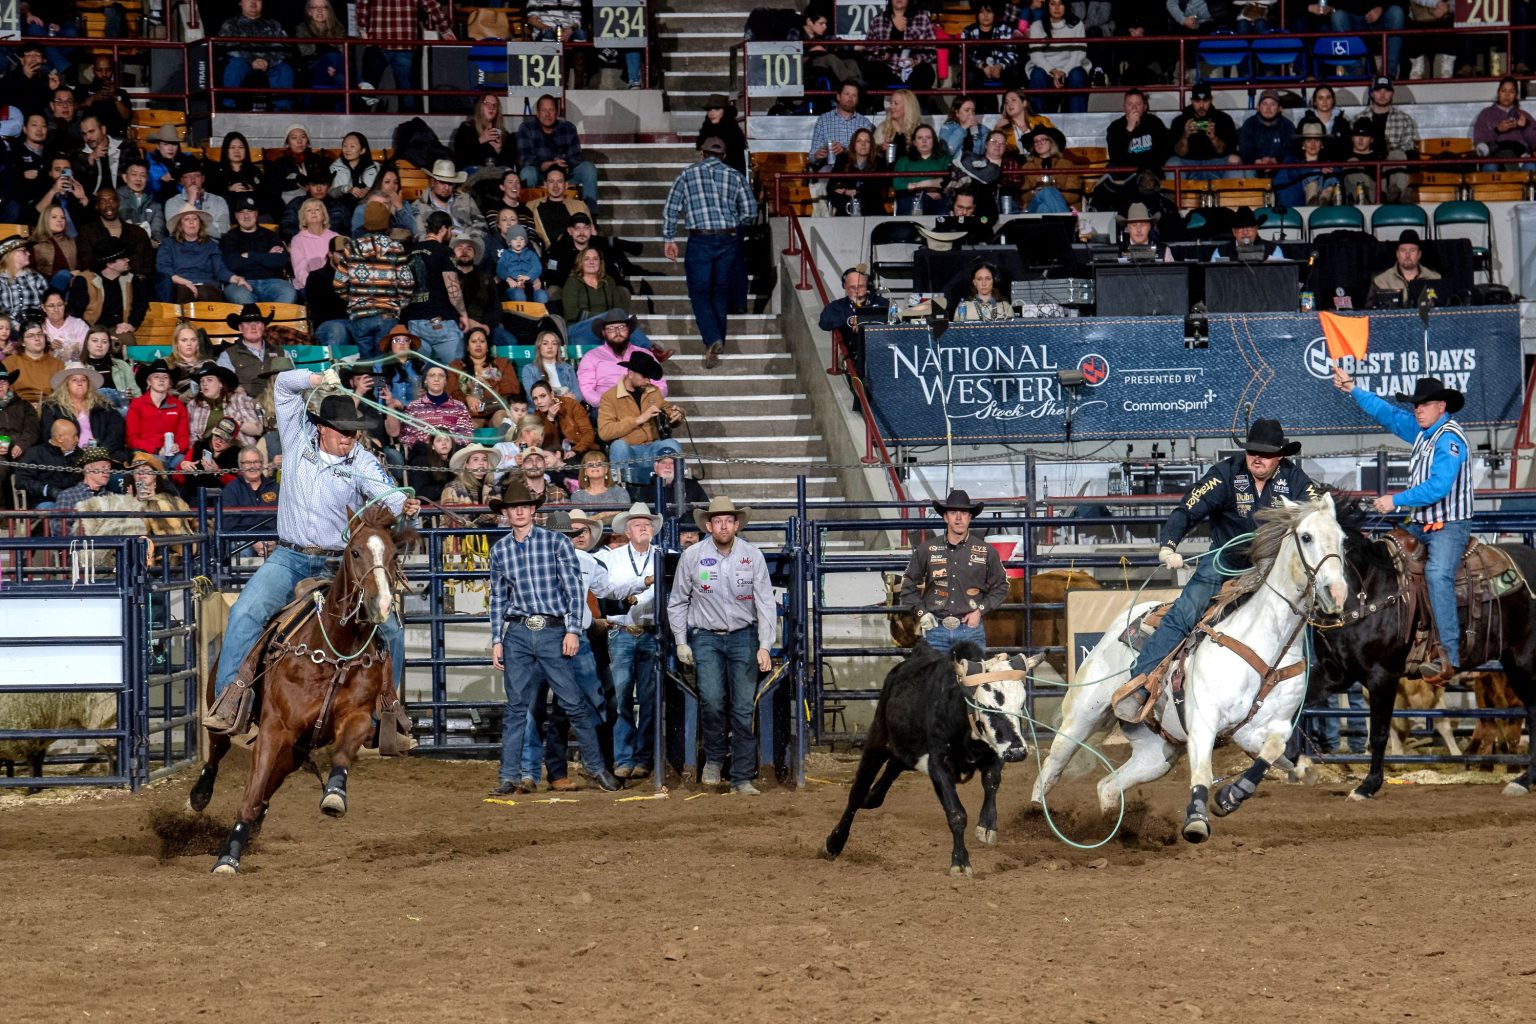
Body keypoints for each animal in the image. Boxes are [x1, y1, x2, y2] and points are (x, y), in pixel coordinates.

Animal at [185, 503, 414, 872]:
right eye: (355, 552)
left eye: (393, 554)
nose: (379, 605)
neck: (335, 652)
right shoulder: (274, 728)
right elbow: (250, 792)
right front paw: (227, 858)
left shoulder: (356, 717)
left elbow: (342, 753)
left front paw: (335, 795)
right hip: (223, 706)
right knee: (218, 749)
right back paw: (199, 796)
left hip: (298, 747)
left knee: (273, 781)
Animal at [1032, 494, 1345, 841]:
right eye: (1307, 537)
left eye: (1342, 539)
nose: (1336, 593)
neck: (1267, 648)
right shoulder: (1204, 720)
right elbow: (1203, 773)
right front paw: (1196, 819)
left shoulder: (1263, 728)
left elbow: (1274, 754)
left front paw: (1230, 796)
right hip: (1082, 717)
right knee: (1052, 767)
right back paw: (1032, 818)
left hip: (1157, 754)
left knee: (1108, 786)